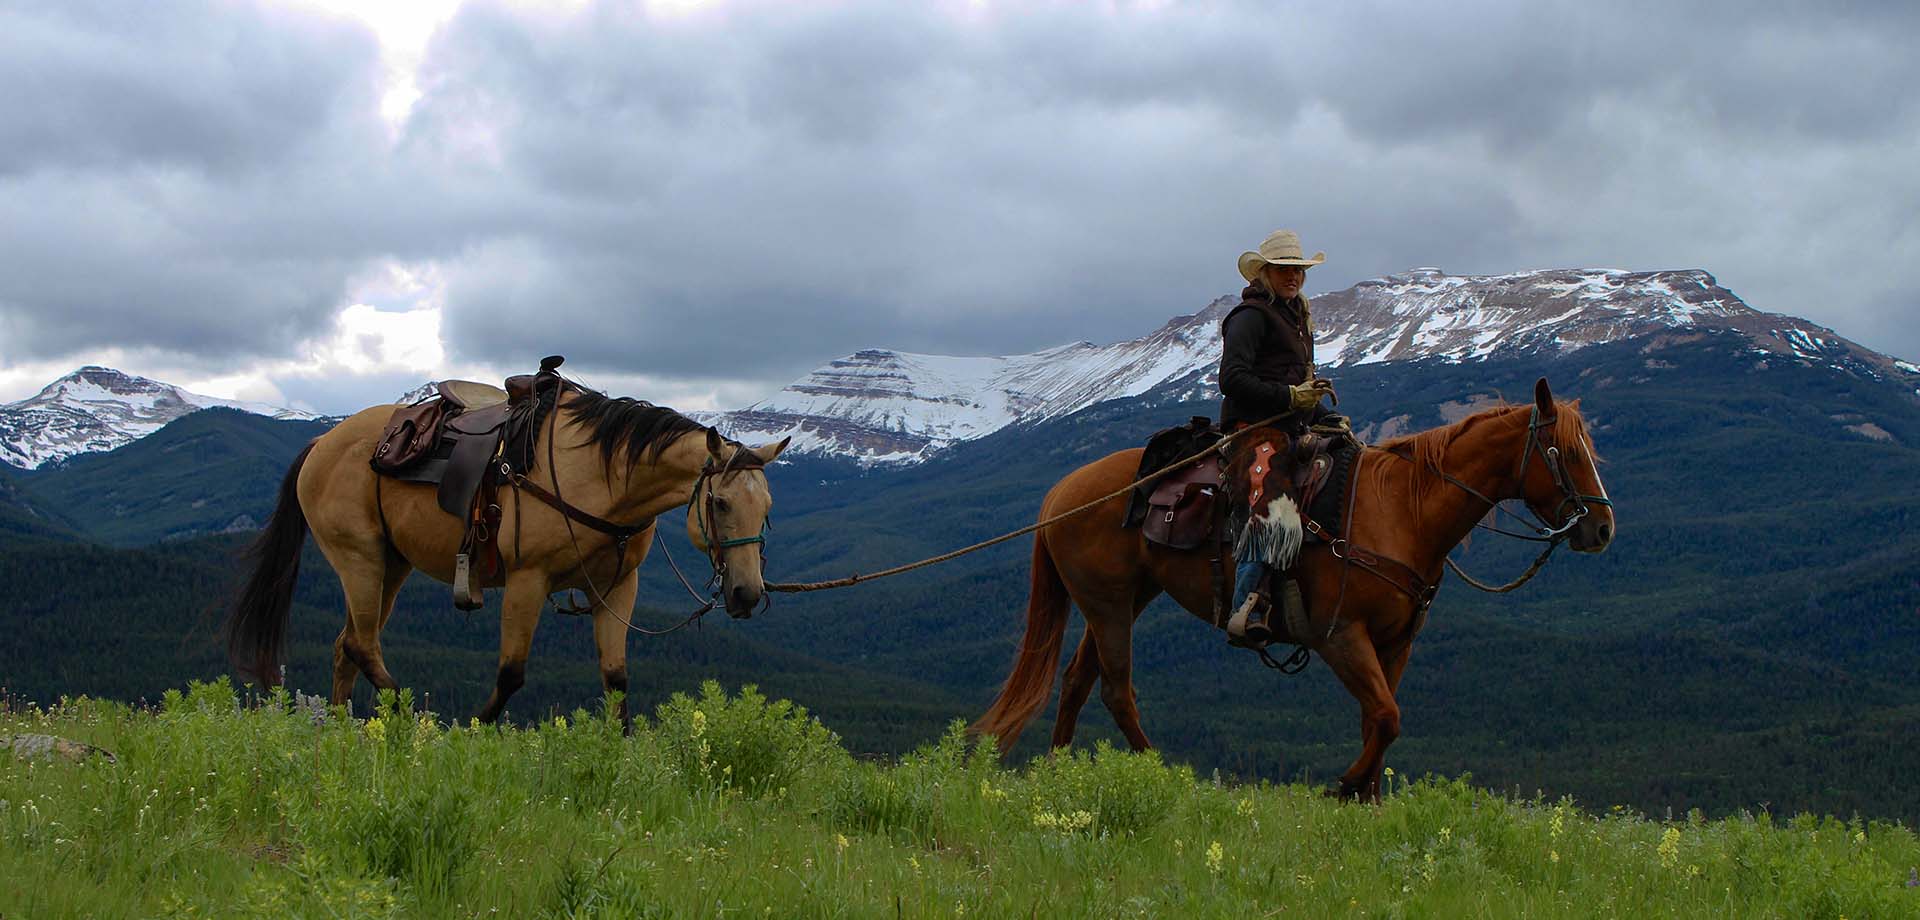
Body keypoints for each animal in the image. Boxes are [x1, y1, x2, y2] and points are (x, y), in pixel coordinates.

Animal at [226, 384, 787, 726]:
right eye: (720, 502)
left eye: (767, 509)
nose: (746, 594)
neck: (602, 475)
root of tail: (321, 441)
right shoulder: (527, 581)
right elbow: (511, 674)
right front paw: (472, 728)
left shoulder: (616, 588)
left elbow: (616, 679)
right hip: (358, 559)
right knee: (363, 646)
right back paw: (412, 720)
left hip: (390, 565)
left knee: (347, 646)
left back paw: (342, 733)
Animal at [967, 378, 1612, 802]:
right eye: (1565, 452)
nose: (1601, 529)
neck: (1401, 510)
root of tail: (1060, 493)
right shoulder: (1339, 636)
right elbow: (1386, 715)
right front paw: (1346, 786)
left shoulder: (1395, 643)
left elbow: (1378, 718)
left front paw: (1368, 798)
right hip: (1106, 604)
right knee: (1115, 690)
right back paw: (1161, 776)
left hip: (1125, 598)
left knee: (1079, 680)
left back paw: (1059, 772)